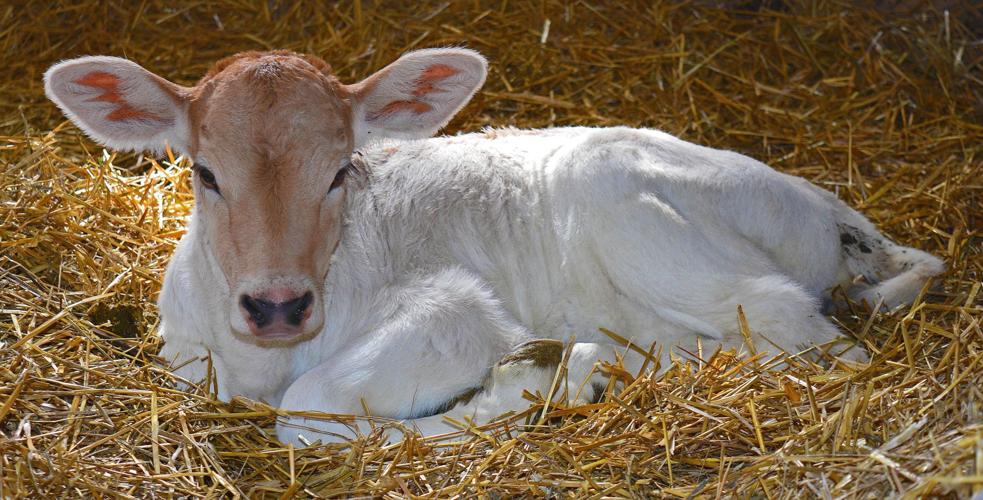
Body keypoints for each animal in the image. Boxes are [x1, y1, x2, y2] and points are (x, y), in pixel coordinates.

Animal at [44, 49, 944, 445]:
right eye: (204, 172)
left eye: (340, 170)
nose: (276, 304)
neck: (259, 363)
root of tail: (830, 206)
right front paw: (553, 378)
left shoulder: (454, 311)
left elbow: (309, 414)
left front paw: (525, 386)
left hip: (623, 199)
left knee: (808, 336)